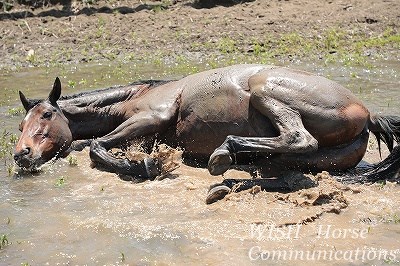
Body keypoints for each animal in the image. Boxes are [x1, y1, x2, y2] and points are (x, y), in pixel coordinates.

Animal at [13, 64, 400, 204]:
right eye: (20, 126)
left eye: (46, 114)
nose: (21, 154)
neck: (136, 96)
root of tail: (368, 114)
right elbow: (82, 145)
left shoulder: (152, 117)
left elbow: (94, 146)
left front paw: (147, 166)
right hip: (306, 160)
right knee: (283, 172)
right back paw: (225, 184)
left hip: (265, 90)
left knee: (298, 139)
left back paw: (224, 154)